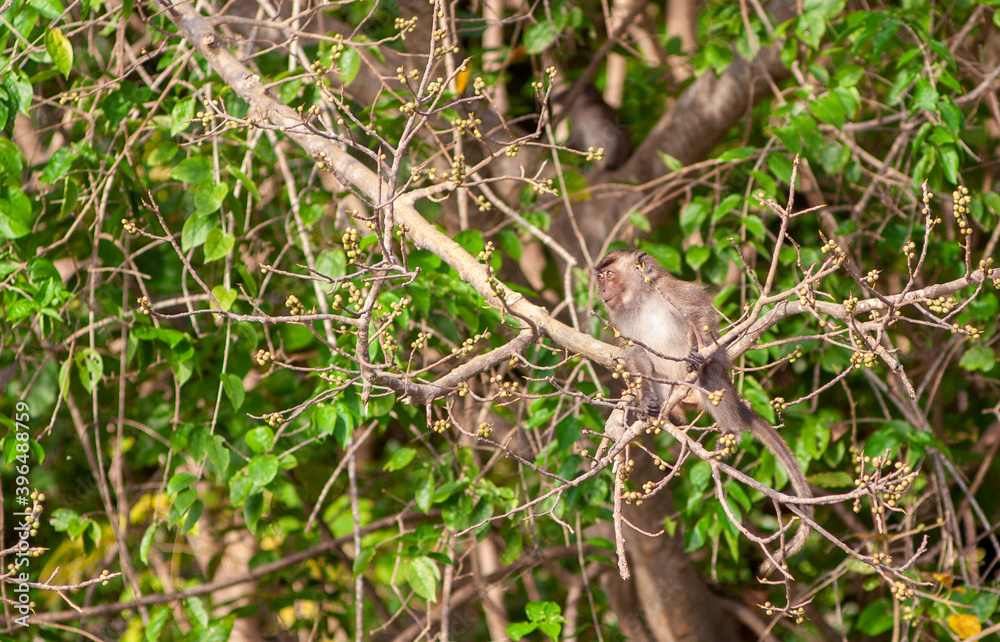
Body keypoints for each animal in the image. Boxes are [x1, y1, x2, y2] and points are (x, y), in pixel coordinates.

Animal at [594, 248, 812, 575]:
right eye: (600, 276)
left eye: (609, 274)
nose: (602, 290)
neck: (641, 300)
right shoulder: (620, 319)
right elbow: (636, 354)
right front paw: (644, 400)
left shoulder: (673, 292)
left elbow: (701, 315)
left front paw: (700, 351)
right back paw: (655, 410)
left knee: (709, 377)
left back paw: (730, 426)